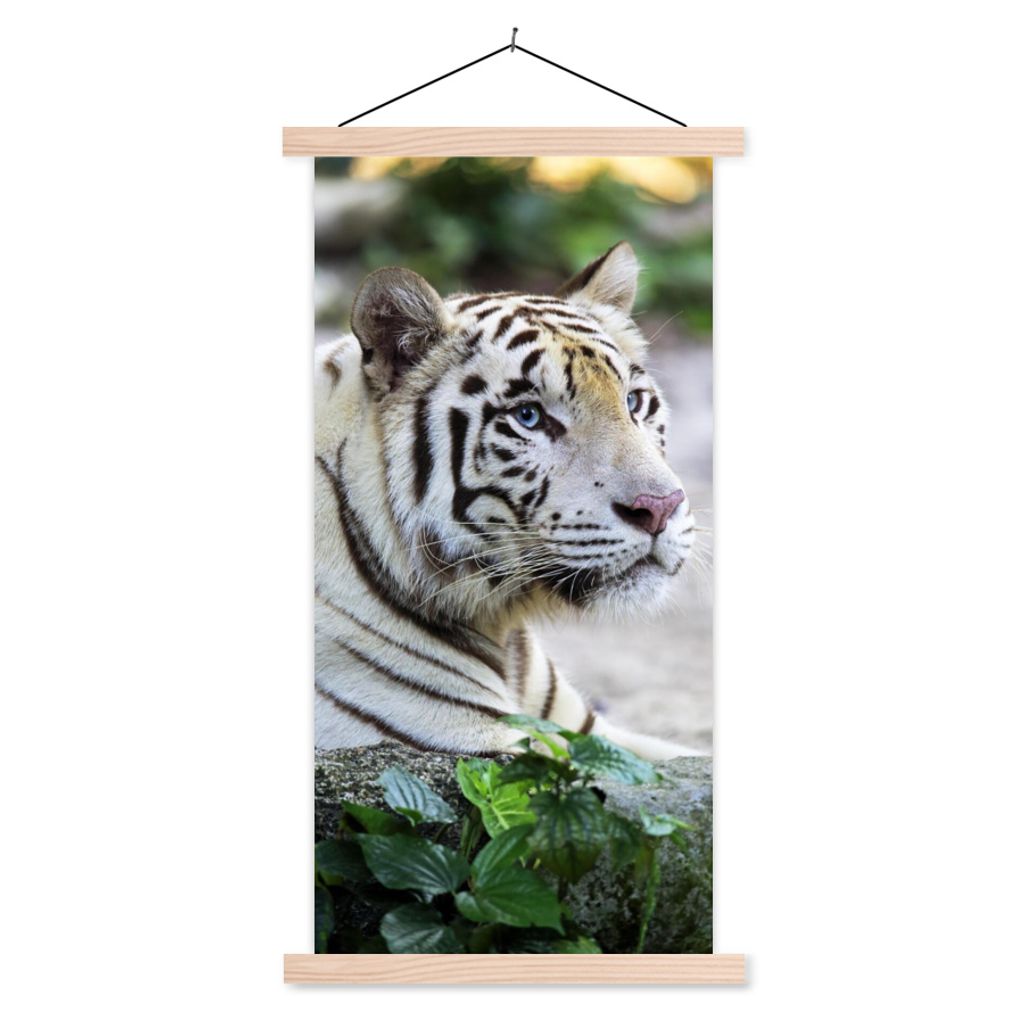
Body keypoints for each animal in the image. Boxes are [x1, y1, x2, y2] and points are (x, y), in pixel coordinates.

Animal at [315, 241, 701, 760]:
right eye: (529, 416)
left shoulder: (589, 733)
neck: (501, 622)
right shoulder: (481, 748)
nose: (660, 508)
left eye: (634, 402)